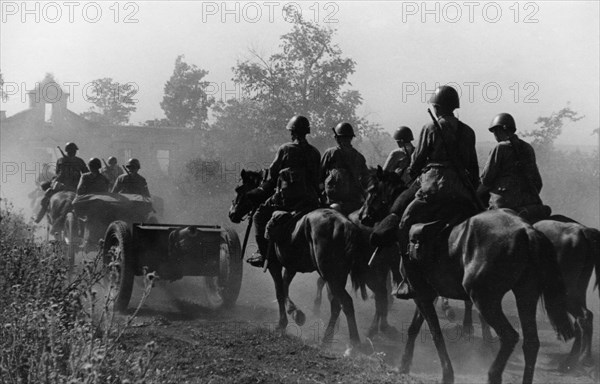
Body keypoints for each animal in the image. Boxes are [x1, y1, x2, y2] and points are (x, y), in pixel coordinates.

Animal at [229, 170, 370, 350]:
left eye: (239, 189)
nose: (231, 213)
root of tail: (346, 226)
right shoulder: (291, 266)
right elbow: (284, 286)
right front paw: (295, 313)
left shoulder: (274, 264)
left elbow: (280, 290)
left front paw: (285, 321)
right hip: (337, 277)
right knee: (336, 304)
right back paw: (326, 339)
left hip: (330, 276)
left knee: (346, 302)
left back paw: (354, 343)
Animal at [358, 167, 576, 384]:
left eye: (372, 190)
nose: (363, 217)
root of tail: (527, 231)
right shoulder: (427, 293)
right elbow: (414, 327)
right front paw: (404, 364)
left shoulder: (422, 293)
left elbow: (436, 333)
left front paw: (447, 374)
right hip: (525, 296)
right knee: (531, 342)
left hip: (485, 299)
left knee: (509, 336)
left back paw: (493, 373)